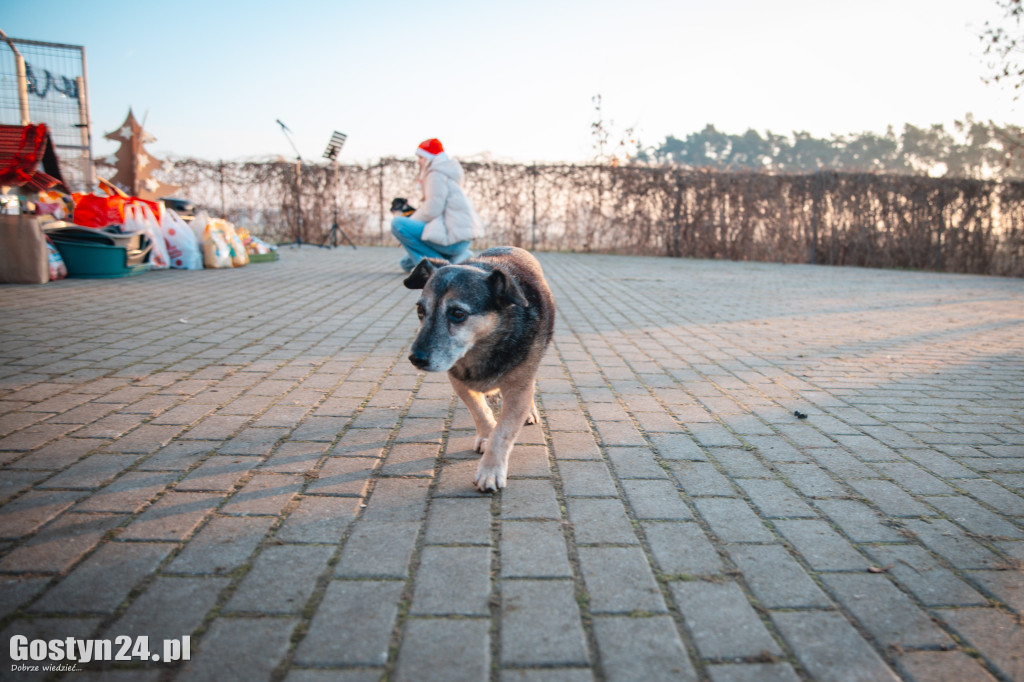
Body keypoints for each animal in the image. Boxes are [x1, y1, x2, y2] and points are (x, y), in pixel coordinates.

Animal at [403, 246, 557, 491]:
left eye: (458, 313)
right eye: (420, 310)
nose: (415, 358)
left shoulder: (518, 388)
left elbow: (503, 432)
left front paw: (490, 470)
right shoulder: (459, 382)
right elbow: (479, 411)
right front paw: (486, 434)